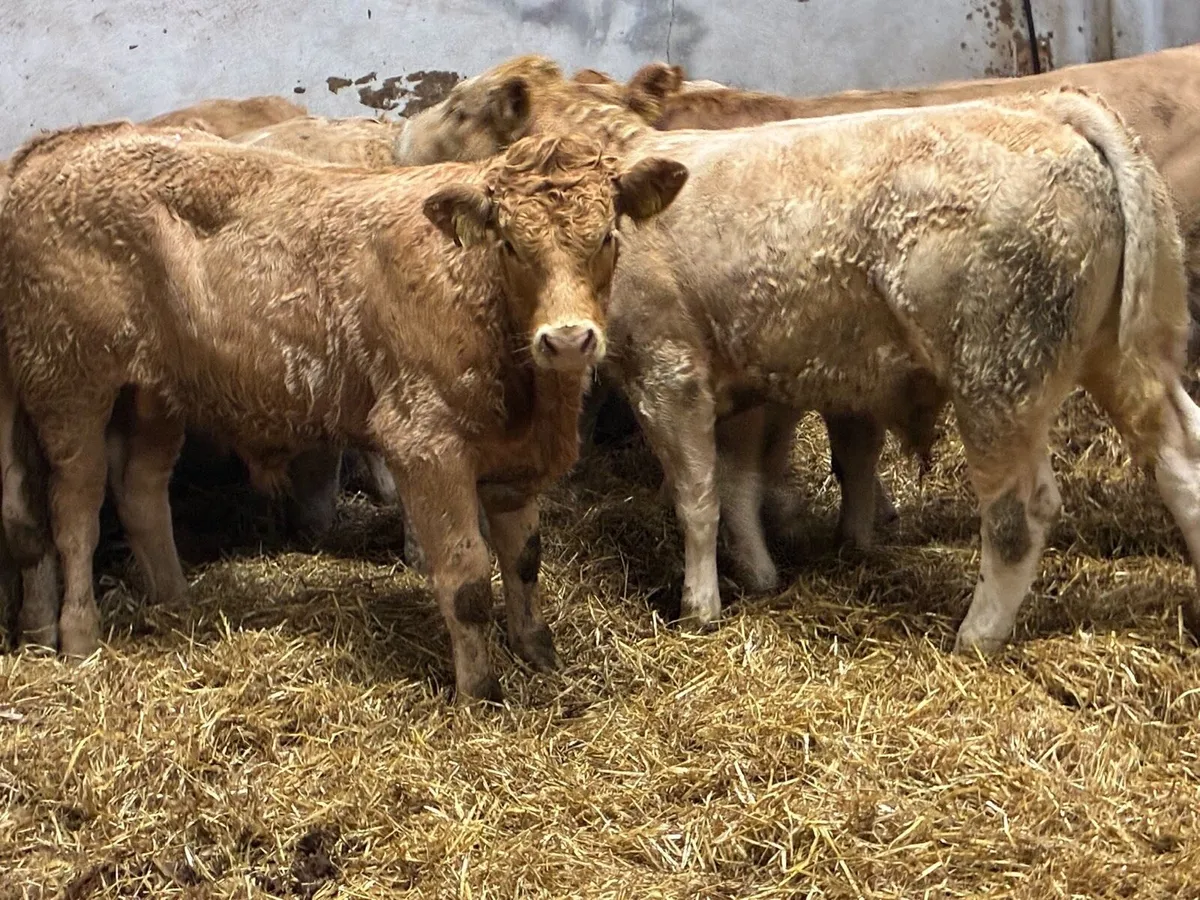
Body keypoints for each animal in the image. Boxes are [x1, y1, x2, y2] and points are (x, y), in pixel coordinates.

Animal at [0, 120, 686, 701]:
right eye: (512, 245)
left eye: (607, 237)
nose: (567, 340)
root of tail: (59, 144)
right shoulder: (424, 443)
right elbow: (466, 577)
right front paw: (480, 692)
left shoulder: (513, 459)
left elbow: (524, 559)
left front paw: (539, 654)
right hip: (68, 383)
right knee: (75, 510)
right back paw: (78, 638)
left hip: (152, 392)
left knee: (141, 491)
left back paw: (176, 605)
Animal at [396, 56, 1200, 654]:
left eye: (464, 106)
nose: (400, 139)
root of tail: (1052, 111)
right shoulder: (741, 379)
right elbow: (740, 484)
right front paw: (759, 575)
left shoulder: (668, 369)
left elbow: (697, 496)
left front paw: (700, 605)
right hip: (1122, 357)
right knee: (1181, 458)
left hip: (998, 377)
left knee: (1019, 514)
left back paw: (975, 636)